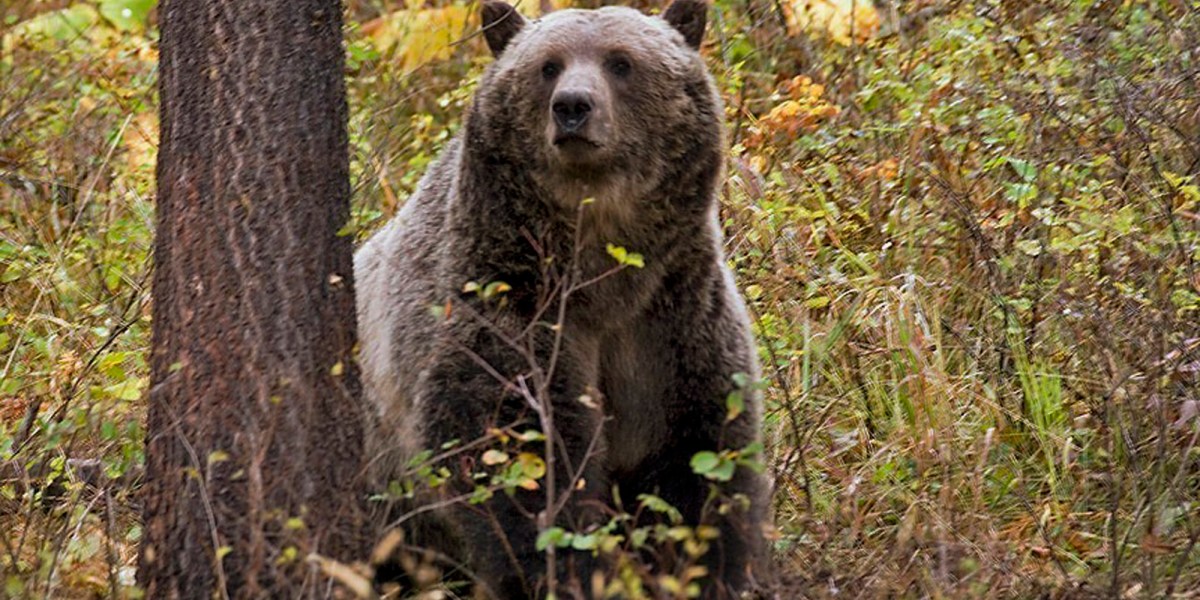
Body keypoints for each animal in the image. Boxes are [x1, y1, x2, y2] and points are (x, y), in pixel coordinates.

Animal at [354, 0, 768, 597]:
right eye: (548, 65)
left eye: (621, 62)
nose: (573, 106)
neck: (601, 272)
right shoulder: (508, 306)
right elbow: (521, 458)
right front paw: (565, 570)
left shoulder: (672, 319)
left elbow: (700, 459)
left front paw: (709, 569)